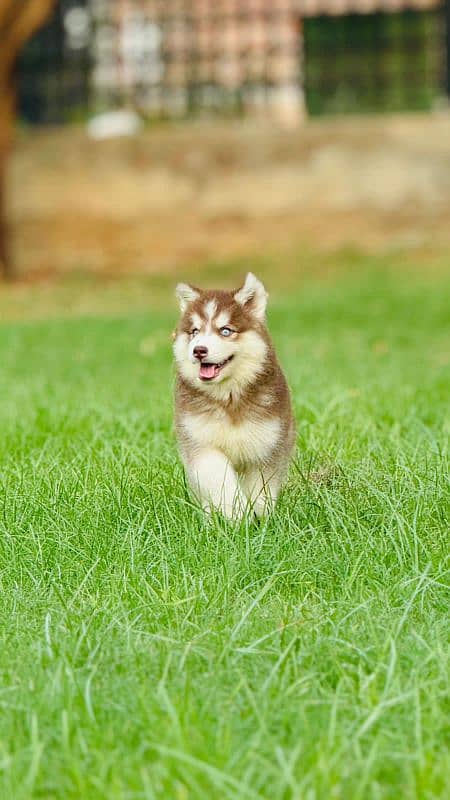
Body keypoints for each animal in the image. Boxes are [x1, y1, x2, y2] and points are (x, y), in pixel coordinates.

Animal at [173, 272, 296, 520]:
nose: (198, 350)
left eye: (225, 331)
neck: (228, 397)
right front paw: (235, 514)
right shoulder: (199, 442)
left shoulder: (266, 444)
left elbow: (261, 490)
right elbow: (219, 480)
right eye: (195, 332)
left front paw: (260, 518)